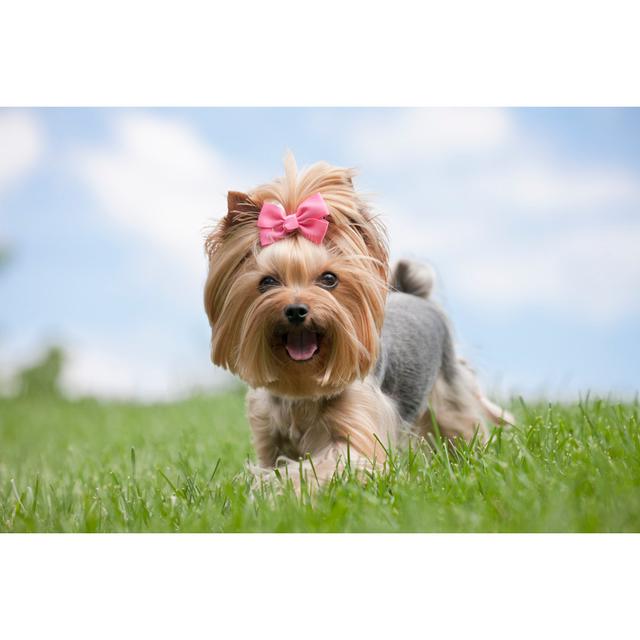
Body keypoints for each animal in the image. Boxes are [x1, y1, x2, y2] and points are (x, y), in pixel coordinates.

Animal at [202, 156, 512, 490]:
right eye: (267, 282)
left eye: (329, 279)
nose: (296, 310)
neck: (303, 387)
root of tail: (415, 295)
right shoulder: (268, 434)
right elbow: (273, 459)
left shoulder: (359, 432)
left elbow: (328, 464)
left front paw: (274, 488)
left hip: (450, 389)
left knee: (462, 425)